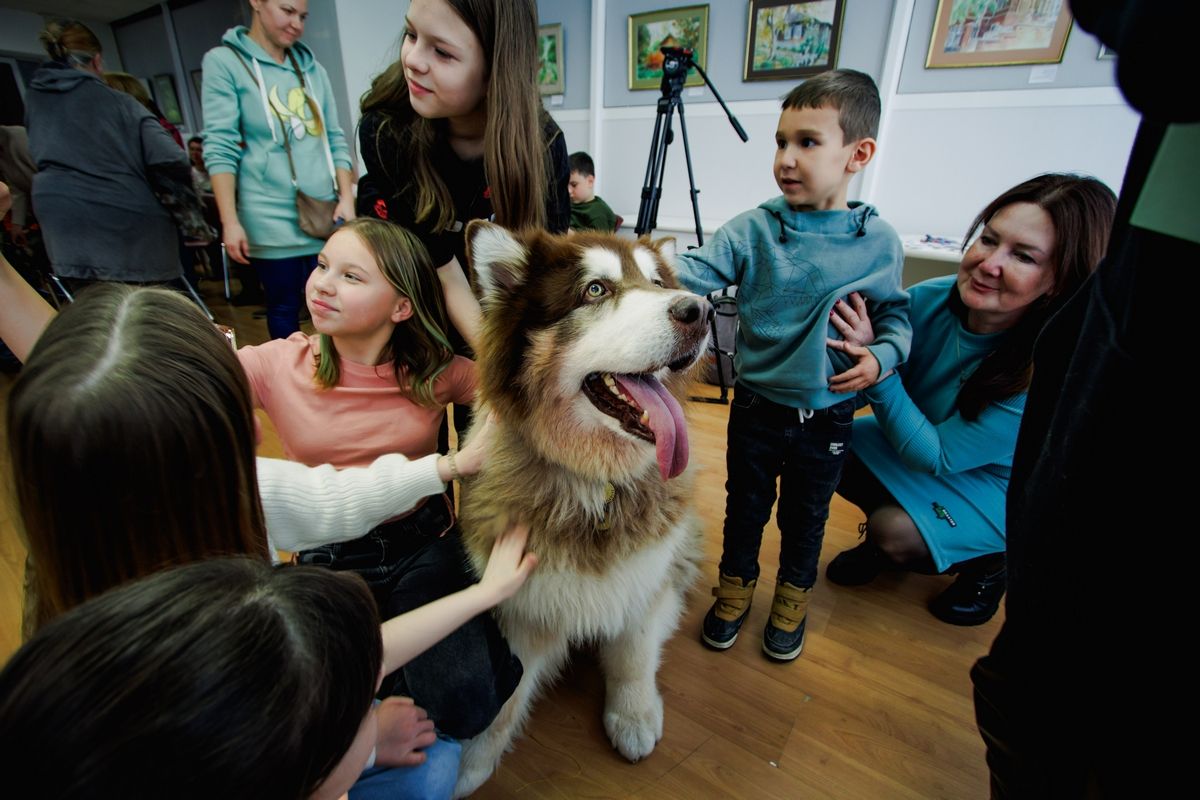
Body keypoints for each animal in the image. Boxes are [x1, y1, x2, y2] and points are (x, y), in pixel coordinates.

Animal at [453, 224, 705, 796]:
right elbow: (504, 701)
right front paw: (472, 762)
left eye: (658, 283)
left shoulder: (643, 581)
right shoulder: (518, 604)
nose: (701, 309)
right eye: (595, 290)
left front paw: (633, 717)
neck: (596, 488)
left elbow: (633, 656)